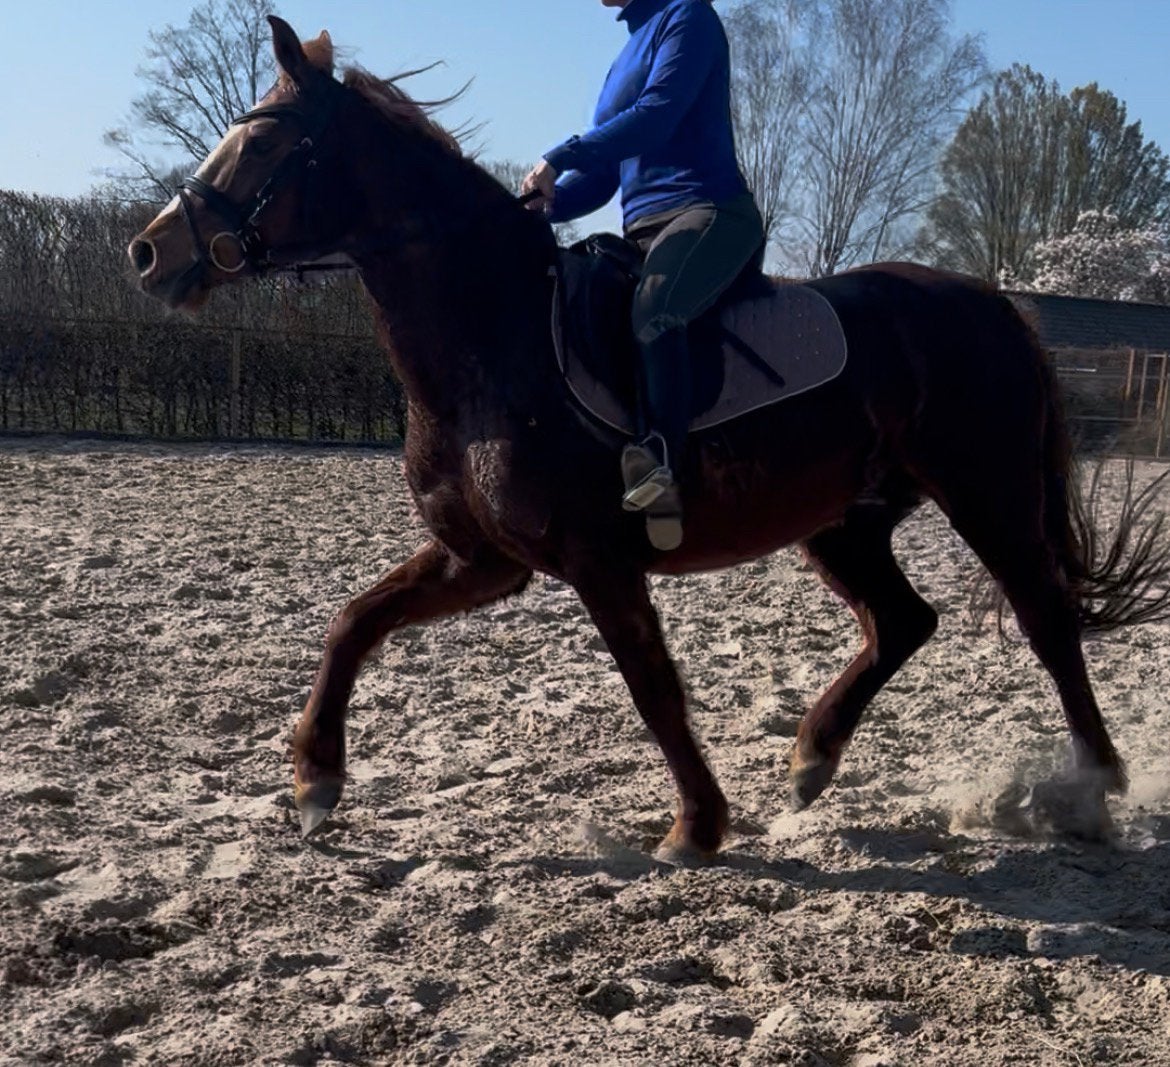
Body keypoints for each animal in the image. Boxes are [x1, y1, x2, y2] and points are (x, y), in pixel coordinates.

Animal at [128, 17, 1170, 859]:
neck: (494, 335)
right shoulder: (482, 559)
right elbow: (354, 620)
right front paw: (315, 780)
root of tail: (992, 304)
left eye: (266, 144)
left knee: (1046, 619)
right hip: (845, 521)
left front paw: (695, 826)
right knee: (905, 620)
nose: (149, 251)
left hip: (987, 494)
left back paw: (1092, 788)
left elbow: (651, 684)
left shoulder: (596, 558)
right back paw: (812, 758)